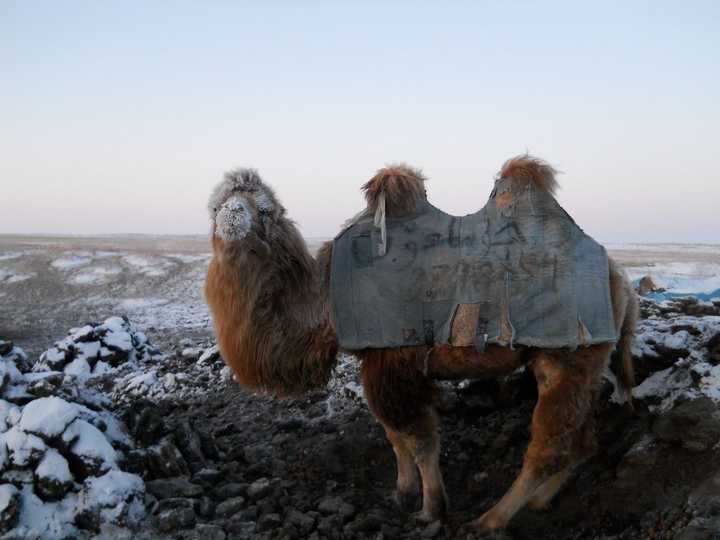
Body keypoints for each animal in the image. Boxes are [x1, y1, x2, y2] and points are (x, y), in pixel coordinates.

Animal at [205, 157, 640, 536]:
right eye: (215, 206)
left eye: (266, 210)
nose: (232, 216)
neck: (325, 300)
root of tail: (620, 278)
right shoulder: (376, 362)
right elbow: (393, 434)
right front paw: (403, 492)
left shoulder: (396, 358)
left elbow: (418, 437)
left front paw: (432, 509)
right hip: (581, 362)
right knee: (581, 438)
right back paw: (541, 500)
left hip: (568, 353)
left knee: (549, 443)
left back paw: (490, 520)